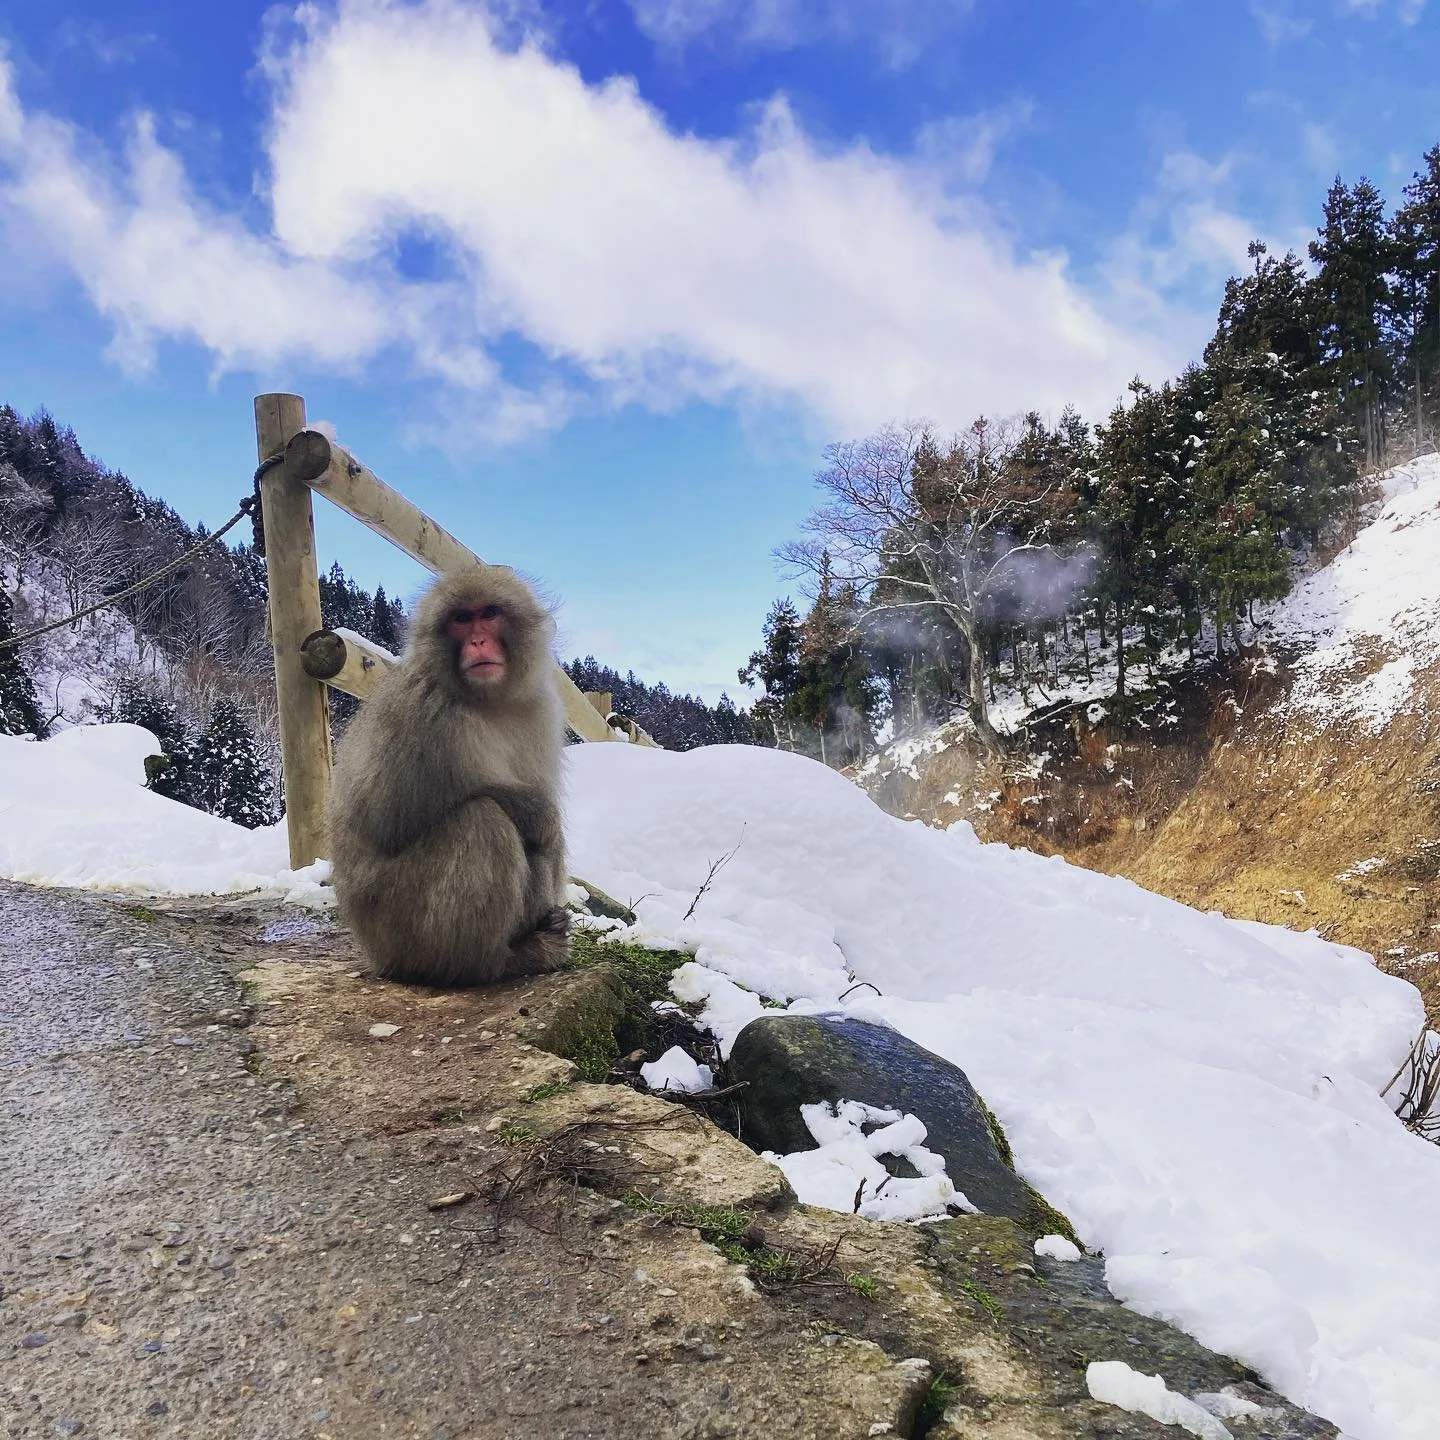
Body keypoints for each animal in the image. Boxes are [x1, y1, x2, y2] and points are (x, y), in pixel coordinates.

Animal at [327, 564, 570, 986]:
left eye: (489, 613)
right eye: (461, 619)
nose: (477, 640)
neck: (486, 701)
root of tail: (375, 955)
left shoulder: (540, 708)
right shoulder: (425, 713)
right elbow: (387, 817)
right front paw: (541, 813)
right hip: (400, 927)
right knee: (482, 819)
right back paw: (492, 962)